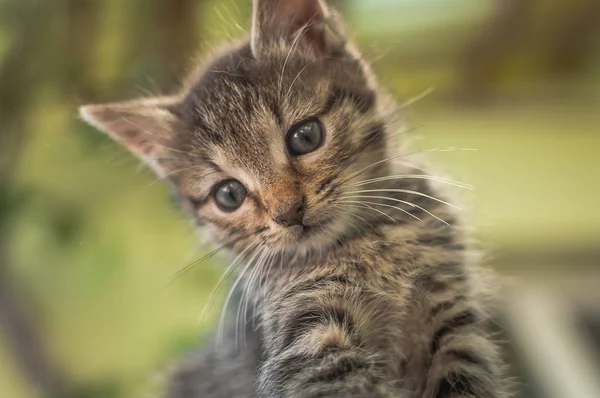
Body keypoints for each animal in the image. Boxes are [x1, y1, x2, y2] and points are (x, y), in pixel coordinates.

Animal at [79, 0, 510, 398]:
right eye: (229, 194)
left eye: (306, 136)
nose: (289, 212)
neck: (365, 244)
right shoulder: (308, 341)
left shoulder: (451, 319)